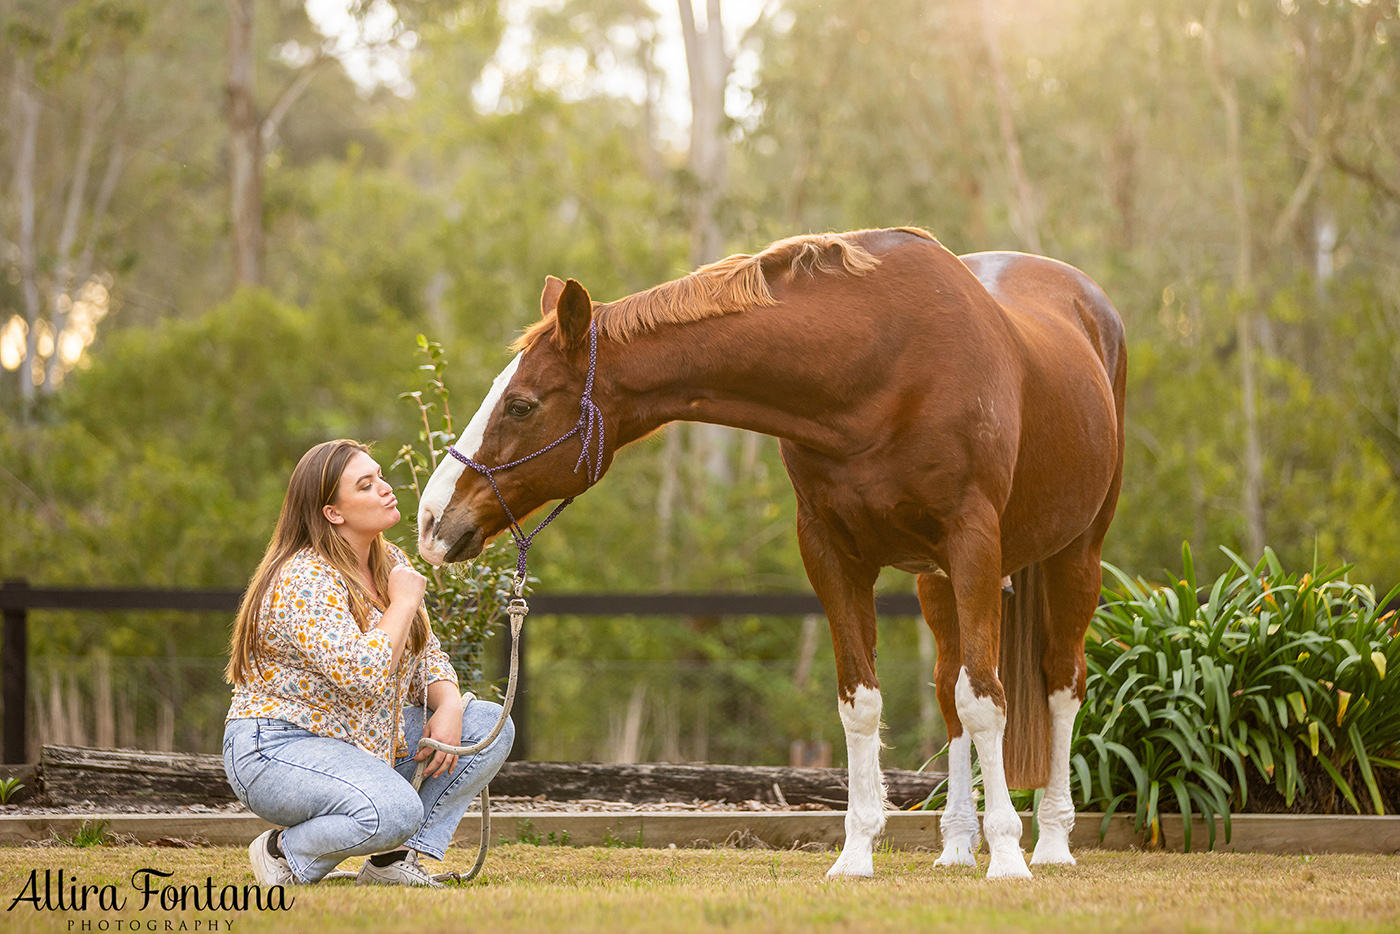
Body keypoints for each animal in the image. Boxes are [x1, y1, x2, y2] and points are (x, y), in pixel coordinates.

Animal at [414, 229, 1125, 879]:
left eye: (521, 405)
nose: (430, 519)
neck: (878, 364)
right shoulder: (833, 554)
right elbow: (863, 703)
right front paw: (856, 855)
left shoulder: (973, 542)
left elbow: (987, 699)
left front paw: (1007, 856)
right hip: (936, 581)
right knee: (949, 690)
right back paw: (954, 845)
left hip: (1074, 559)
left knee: (1059, 684)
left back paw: (1051, 842)